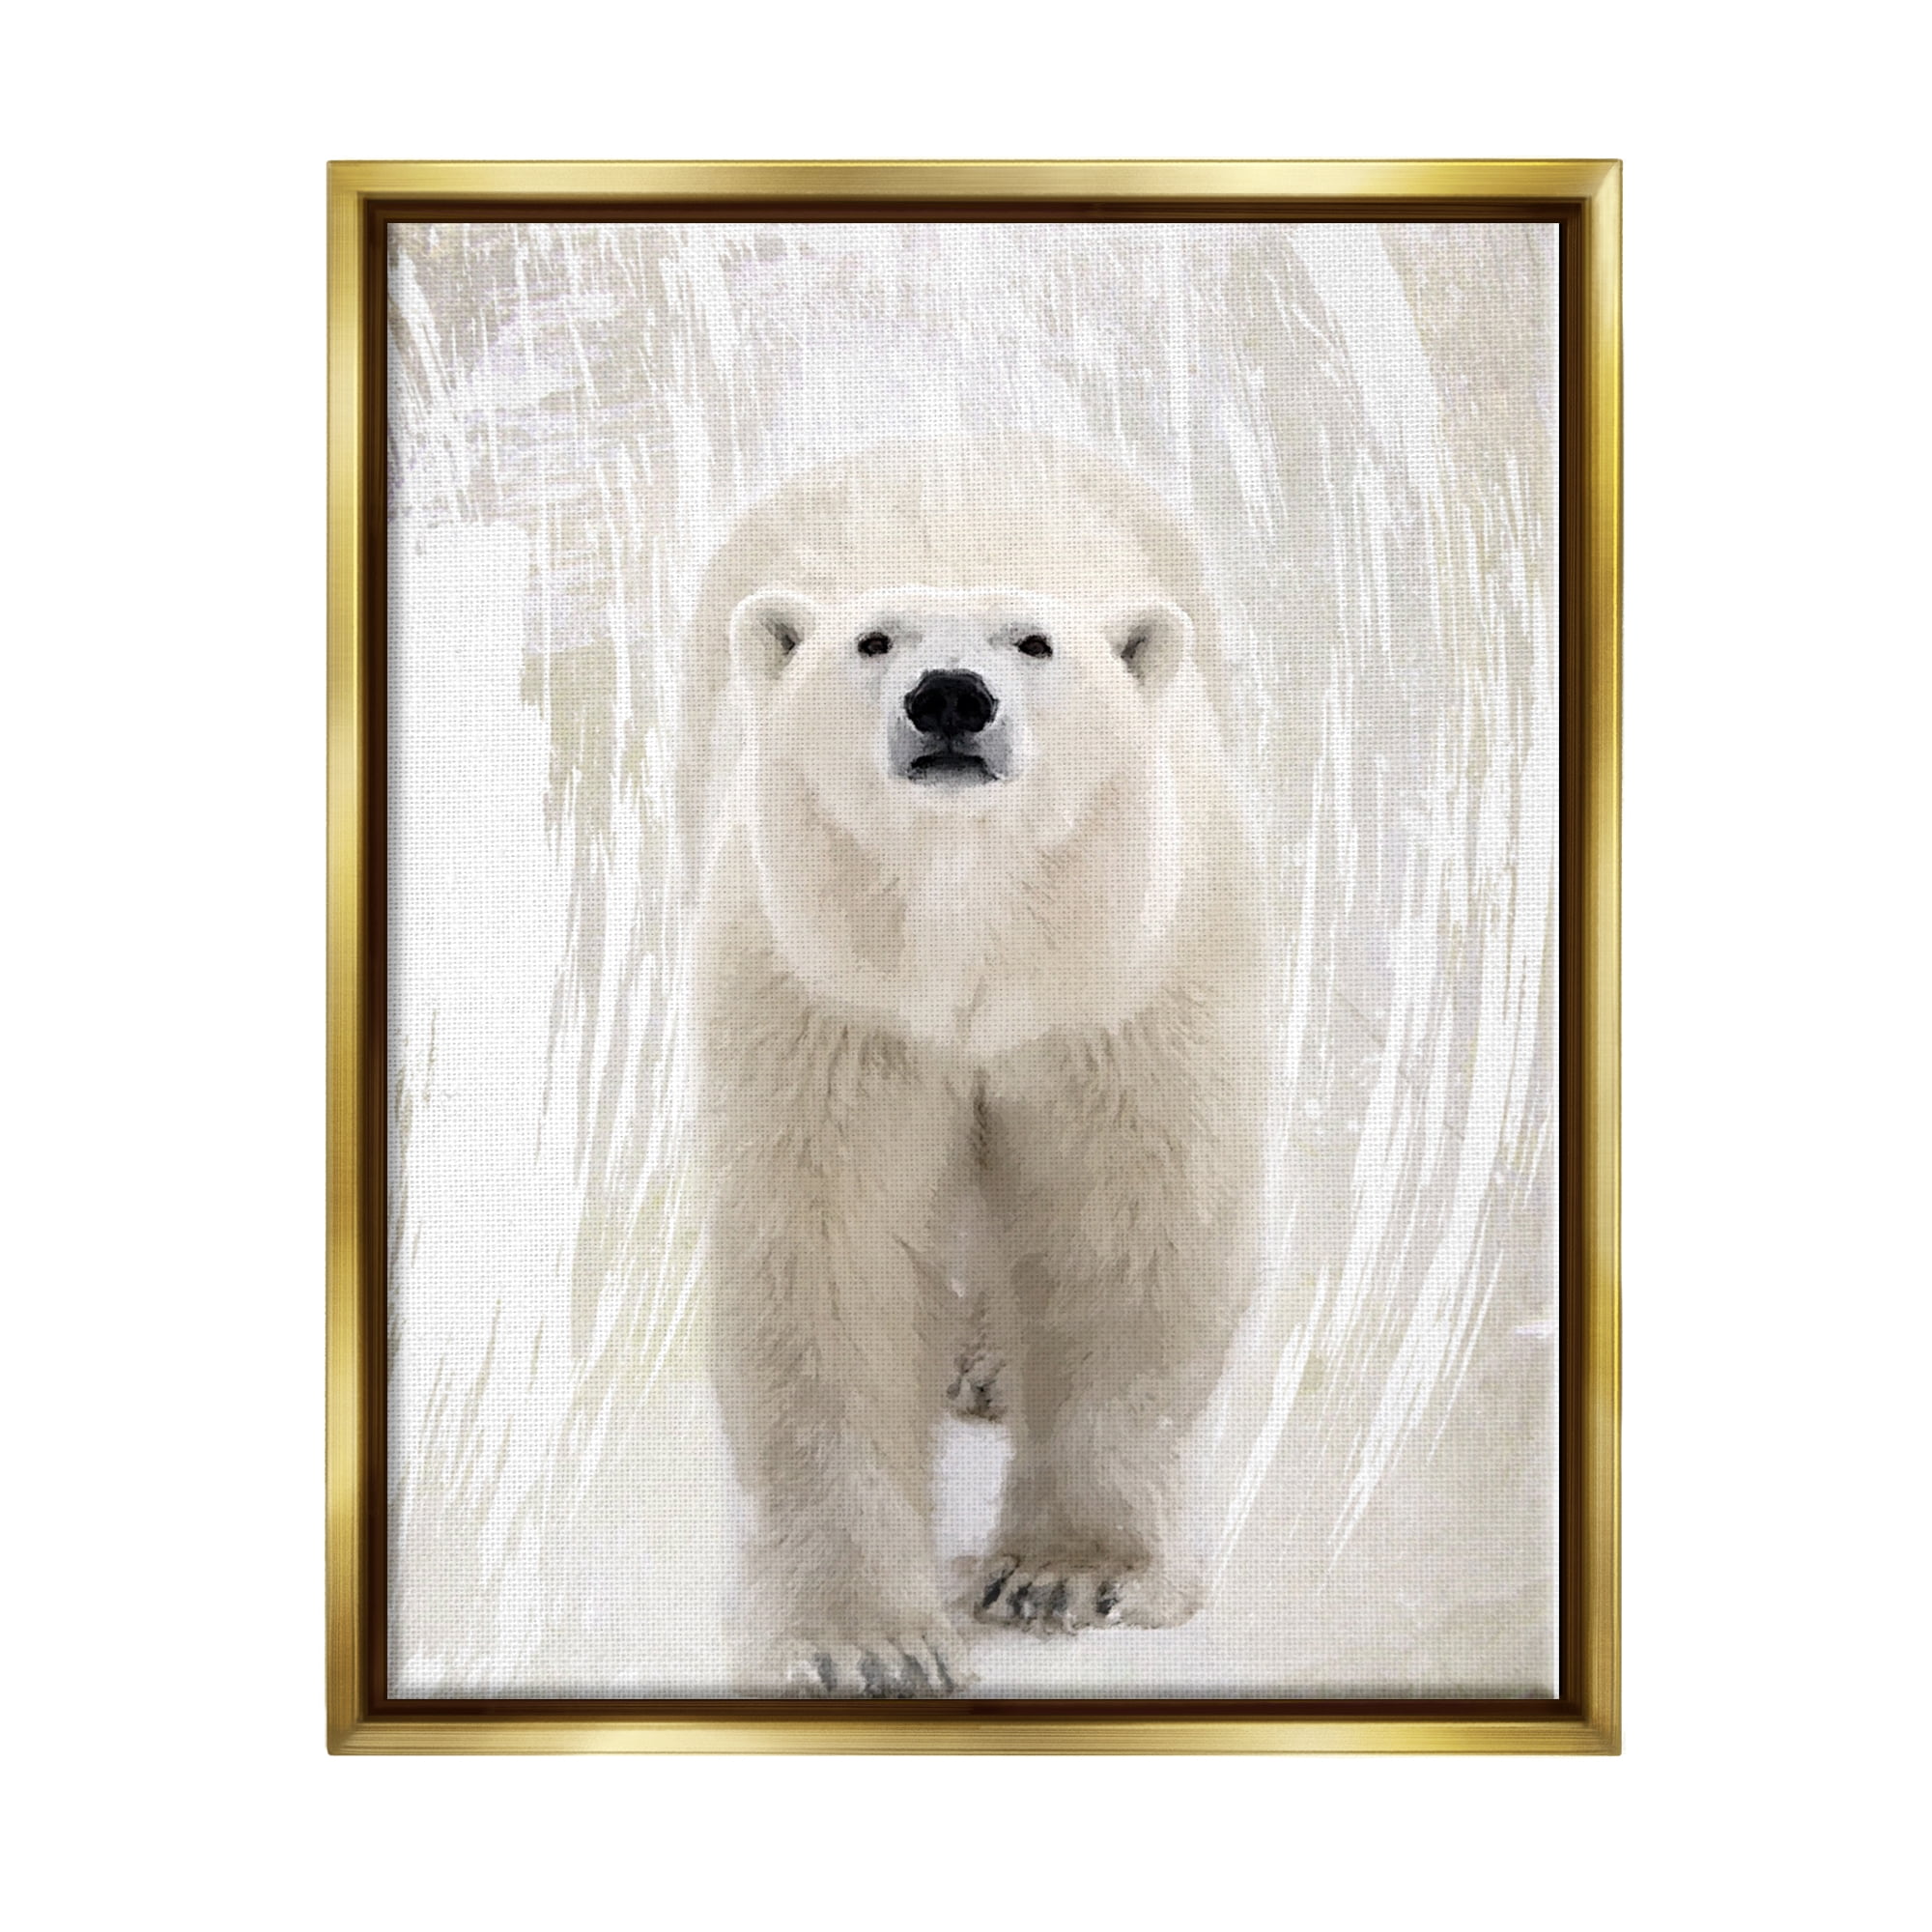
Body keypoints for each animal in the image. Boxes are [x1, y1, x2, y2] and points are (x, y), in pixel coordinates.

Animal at [681, 439, 1267, 1697]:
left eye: (1034, 642)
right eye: (871, 639)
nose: (948, 695)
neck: (972, 935)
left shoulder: (1119, 986)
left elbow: (1120, 1223)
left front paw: (1065, 1575)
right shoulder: (829, 996)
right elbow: (831, 1249)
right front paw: (865, 1638)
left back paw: (992, 1365)